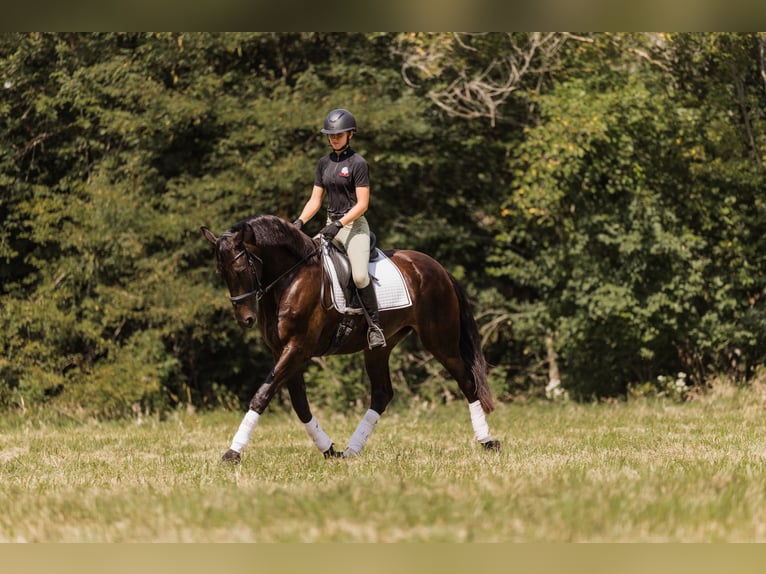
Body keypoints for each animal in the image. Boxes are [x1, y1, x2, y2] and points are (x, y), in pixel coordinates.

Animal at [201, 214, 500, 463]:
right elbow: (299, 404)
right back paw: (351, 450)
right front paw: (328, 449)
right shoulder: (282, 351)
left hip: (440, 341)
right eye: (221, 272)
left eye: (241, 269)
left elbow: (262, 395)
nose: (245, 319)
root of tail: (437, 268)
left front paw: (233, 453)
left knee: (467, 381)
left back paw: (487, 441)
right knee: (382, 393)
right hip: (379, 347)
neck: (291, 277)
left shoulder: (297, 348)